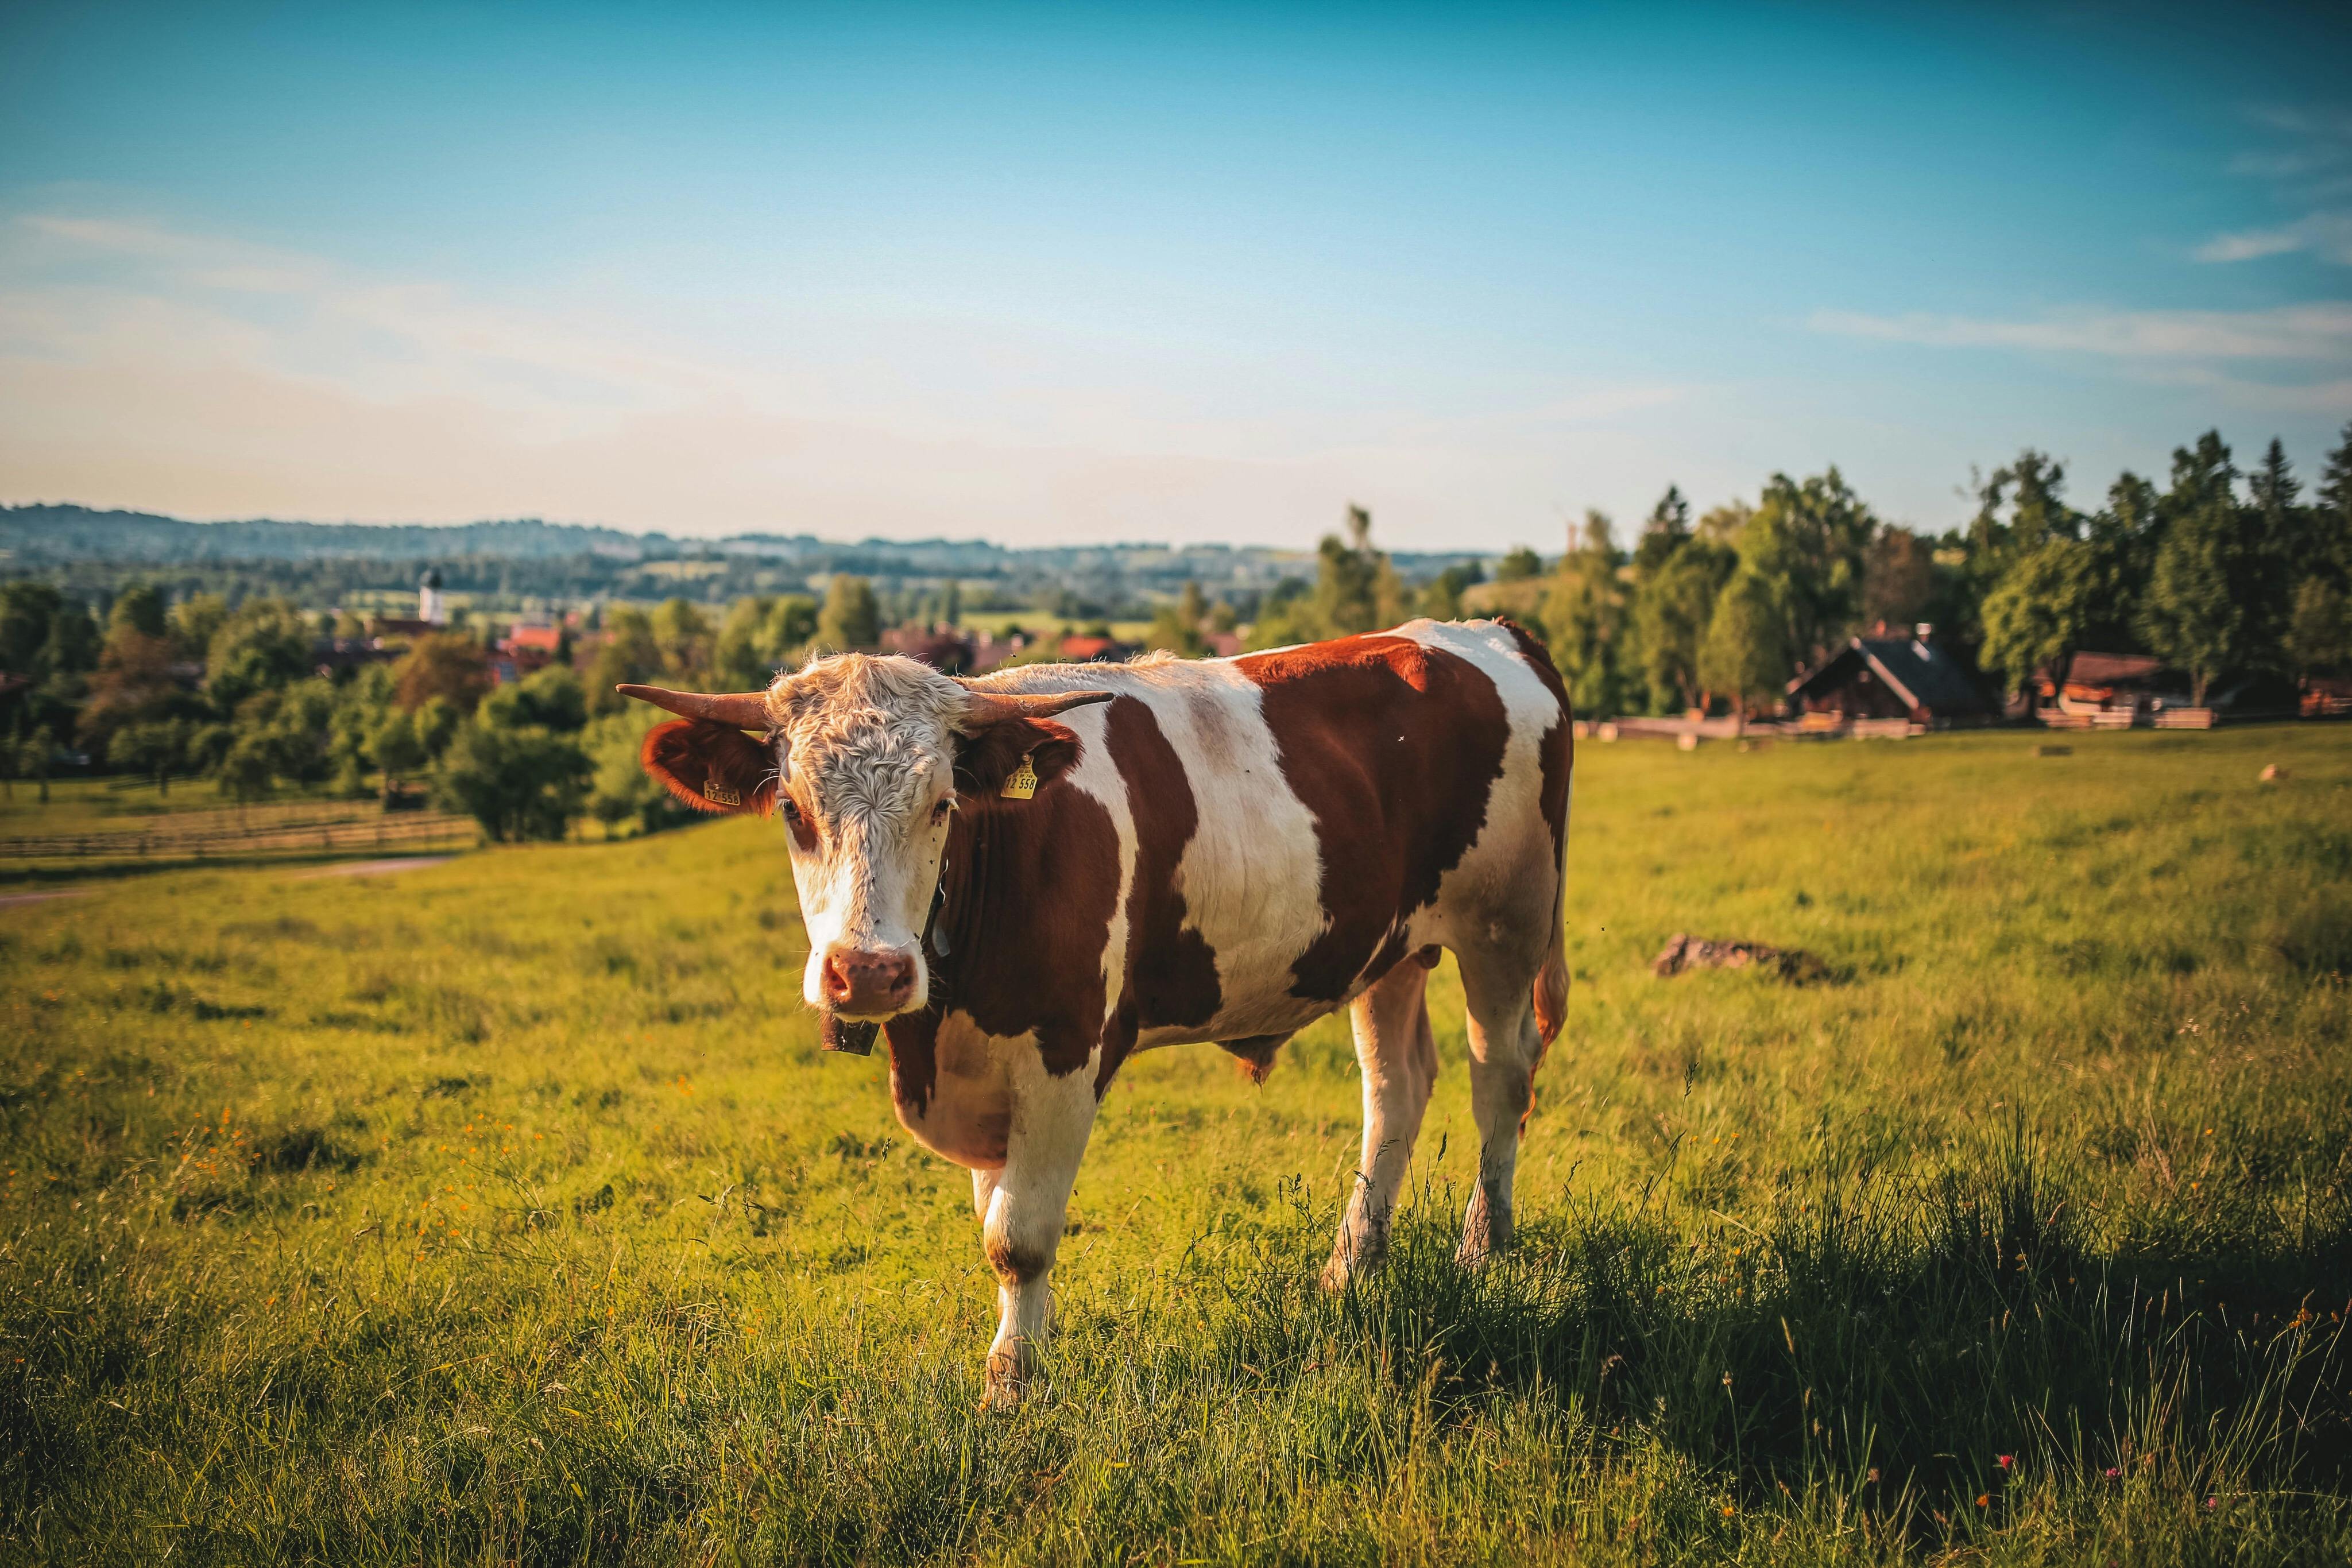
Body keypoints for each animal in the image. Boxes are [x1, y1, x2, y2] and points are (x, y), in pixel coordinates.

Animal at [618, 619, 1572, 1407]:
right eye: (792, 808)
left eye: (941, 804)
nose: (870, 971)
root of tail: (1484, 631)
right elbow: (994, 1216)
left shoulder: (1066, 1052)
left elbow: (1019, 1237)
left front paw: (1013, 1385)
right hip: (1390, 948)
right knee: (1395, 1088)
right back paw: (1352, 1265)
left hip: (1508, 920)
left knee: (1500, 1075)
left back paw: (1485, 1247)